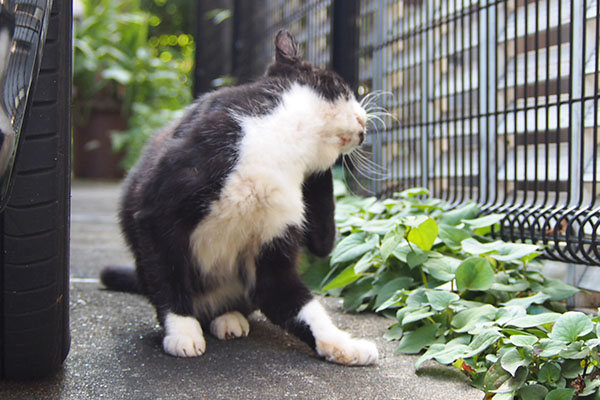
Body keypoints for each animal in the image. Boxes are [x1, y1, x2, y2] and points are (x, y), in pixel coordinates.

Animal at [101, 29, 378, 364]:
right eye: (345, 89)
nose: (365, 122)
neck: (284, 143)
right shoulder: (157, 212)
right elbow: (169, 274)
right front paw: (182, 331)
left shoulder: (275, 240)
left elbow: (298, 299)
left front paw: (342, 344)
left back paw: (228, 318)